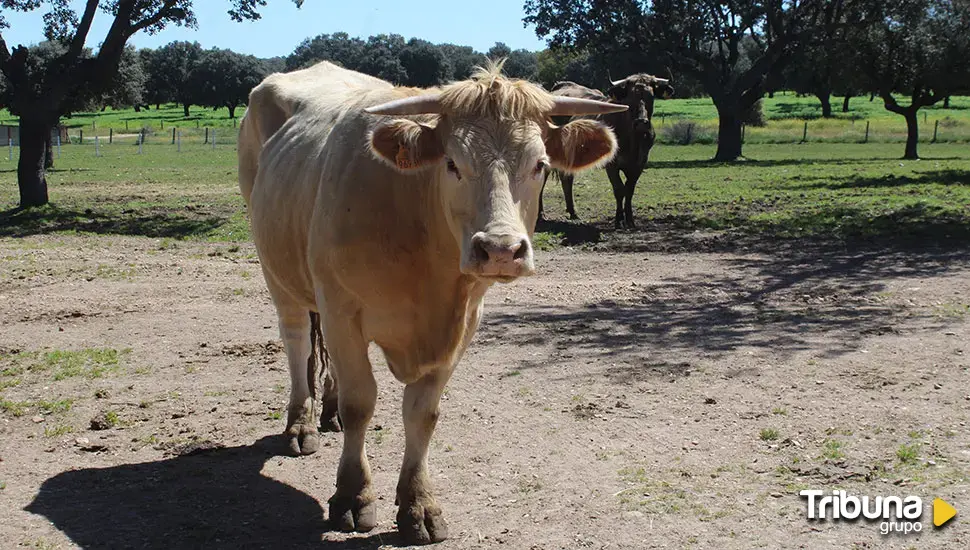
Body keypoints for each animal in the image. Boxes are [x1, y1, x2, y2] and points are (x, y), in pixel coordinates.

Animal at [238, 61, 624, 548]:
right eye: (453, 163)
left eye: (540, 164)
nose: (501, 250)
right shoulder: (342, 310)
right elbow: (361, 403)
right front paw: (353, 496)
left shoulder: (463, 324)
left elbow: (423, 414)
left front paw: (419, 504)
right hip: (278, 273)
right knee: (297, 343)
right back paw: (300, 424)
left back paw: (327, 413)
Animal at [536, 73, 672, 229]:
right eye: (630, 98)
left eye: (651, 96)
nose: (641, 122)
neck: (633, 140)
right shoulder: (612, 164)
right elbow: (619, 190)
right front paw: (619, 220)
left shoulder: (639, 164)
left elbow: (629, 190)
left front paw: (630, 220)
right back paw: (541, 214)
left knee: (567, 179)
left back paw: (573, 213)